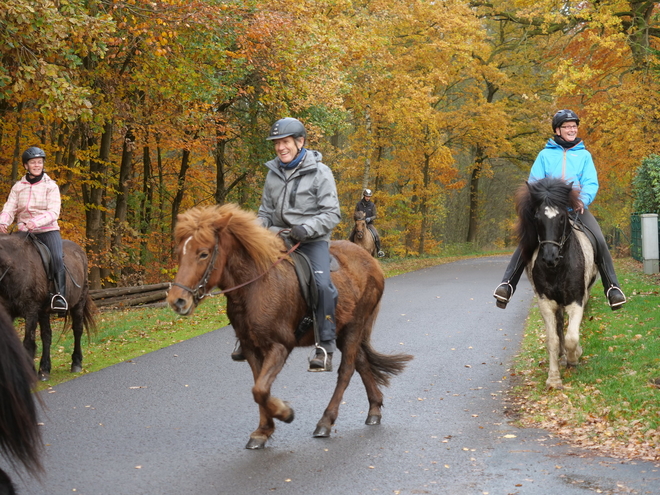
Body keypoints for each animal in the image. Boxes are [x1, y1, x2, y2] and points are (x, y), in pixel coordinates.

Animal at [0, 234, 96, 382]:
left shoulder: (31, 311)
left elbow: (28, 342)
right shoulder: (8, 313)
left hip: (78, 303)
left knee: (77, 330)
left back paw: (76, 363)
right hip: (44, 312)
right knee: (47, 336)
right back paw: (44, 370)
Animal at [168, 204, 410, 450]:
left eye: (203, 253)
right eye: (180, 253)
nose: (177, 300)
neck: (256, 285)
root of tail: (371, 263)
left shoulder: (279, 345)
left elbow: (260, 390)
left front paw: (285, 413)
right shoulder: (251, 348)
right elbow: (259, 388)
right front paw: (263, 430)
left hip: (354, 326)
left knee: (347, 370)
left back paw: (326, 421)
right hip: (344, 331)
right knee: (361, 362)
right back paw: (374, 409)